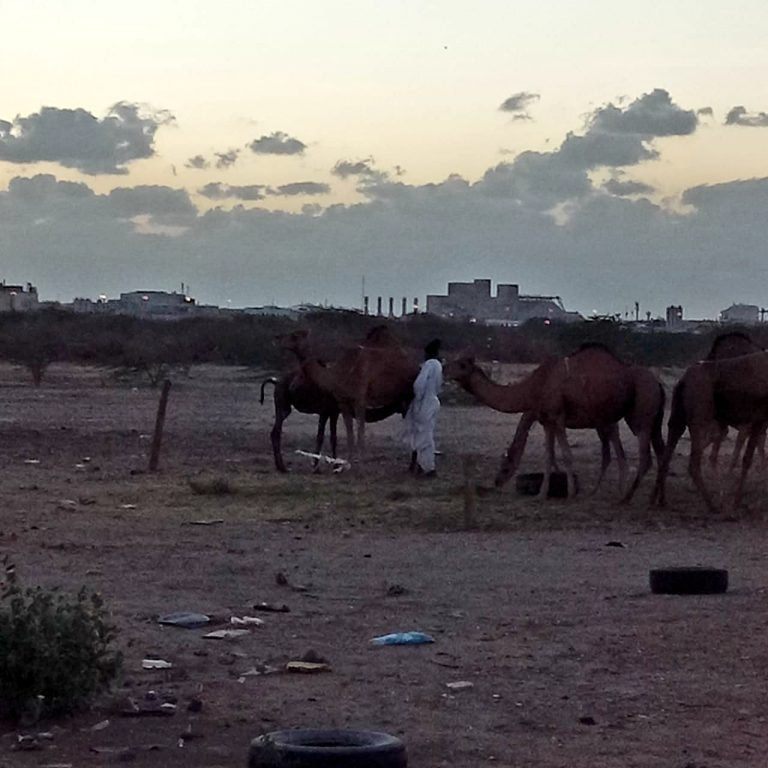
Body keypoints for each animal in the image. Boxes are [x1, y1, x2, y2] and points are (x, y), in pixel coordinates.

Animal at [278, 324, 416, 456]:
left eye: (295, 335)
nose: (278, 339)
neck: (338, 373)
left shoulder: (360, 400)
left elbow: (360, 435)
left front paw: (361, 458)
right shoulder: (343, 403)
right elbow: (350, 435)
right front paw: (349, 460)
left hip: (408, 398)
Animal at [444, 344, 664, 504]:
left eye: (462, 365)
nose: (445, 369)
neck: (535, 386)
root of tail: (659, 383)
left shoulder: (558, 417)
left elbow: (566, 455)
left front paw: (570, 493)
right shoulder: (546, 421)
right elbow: (549, 456)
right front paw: (542, 494)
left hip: (640, 414)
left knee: (644, 457)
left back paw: (626, 497)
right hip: (641, 420)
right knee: (657, 451)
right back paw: (650, 498)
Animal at [652, 330, 768, 510]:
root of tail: (683, 380)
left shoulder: (756, 422)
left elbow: (747, 458)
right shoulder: (756, 420)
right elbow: (746, 458)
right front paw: (736, 501)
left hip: (678, 416)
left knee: (667, 452)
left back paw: (658, 500)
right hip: (700, 416)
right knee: (694, 462)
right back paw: (712, 504)